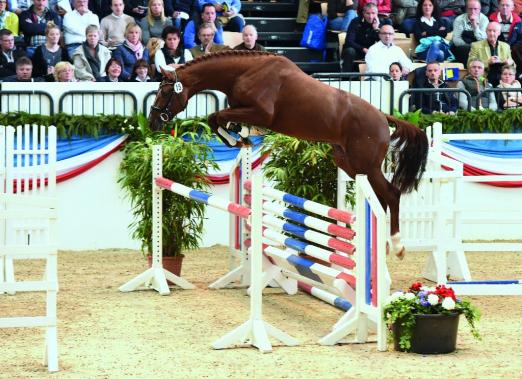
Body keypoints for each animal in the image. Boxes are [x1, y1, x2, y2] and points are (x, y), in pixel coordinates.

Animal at [147, 50, 426, 258]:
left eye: (164, 91)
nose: (152, 122)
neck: (244, 72)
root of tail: (382, 117)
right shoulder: (242, 110)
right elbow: (218, 119)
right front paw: (241, 138)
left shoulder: (260, 113)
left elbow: (216, 116)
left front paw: (238, 139)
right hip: (347, 162)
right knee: (380, 198)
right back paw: (377, 244)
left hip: (365, 165)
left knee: (391, 194)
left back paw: (398, 246)